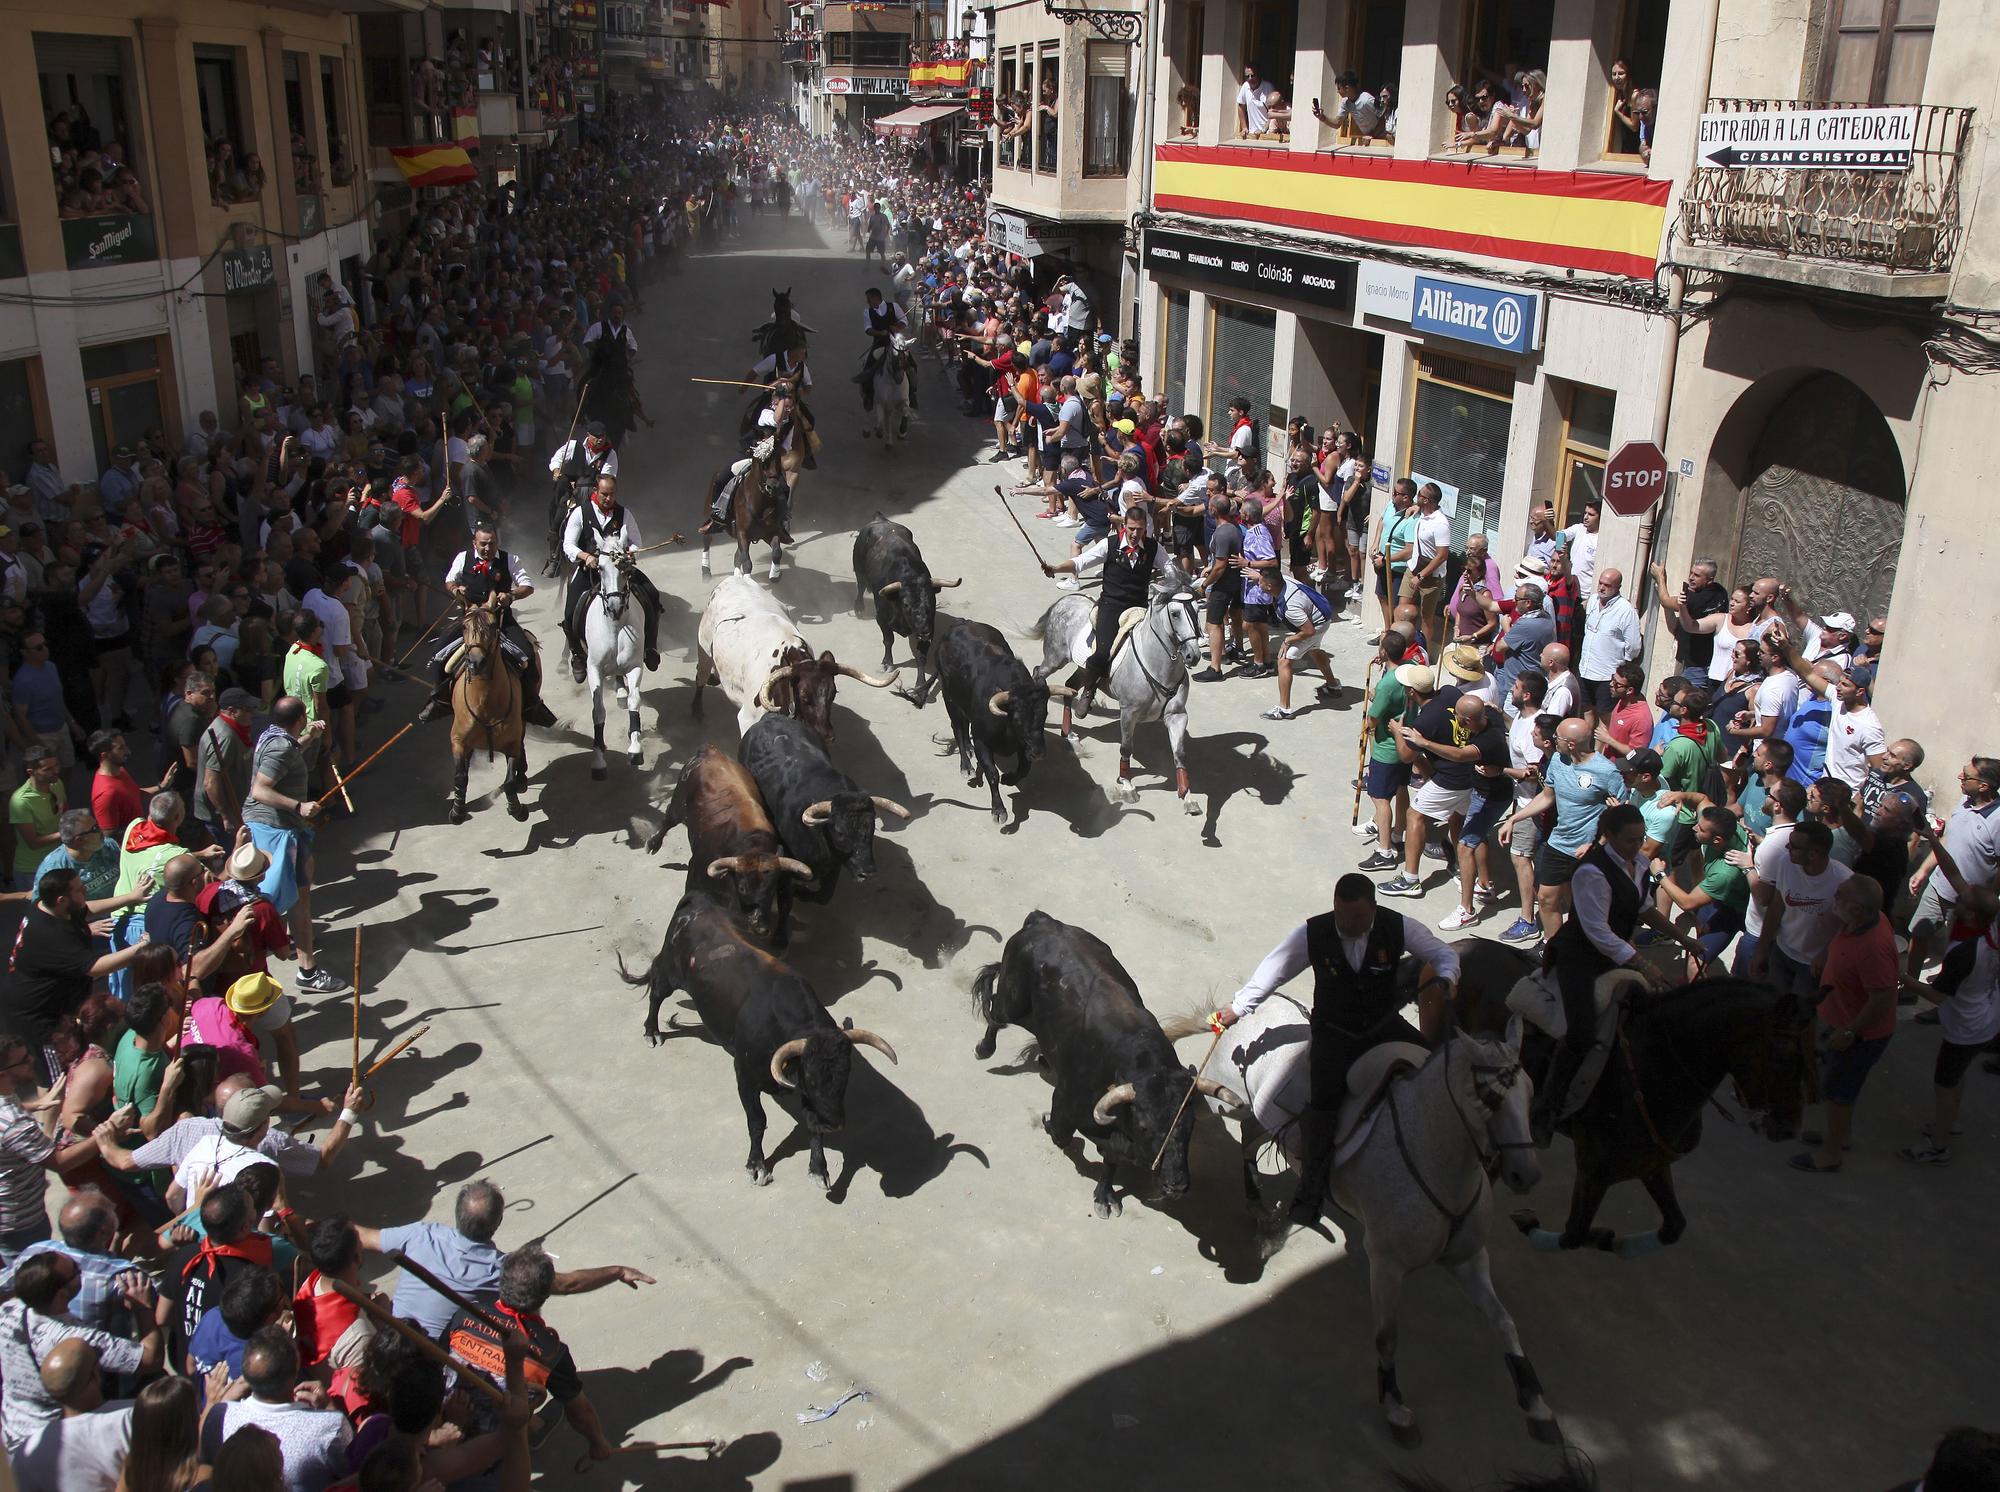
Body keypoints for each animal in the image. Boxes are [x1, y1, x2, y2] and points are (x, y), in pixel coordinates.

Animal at [444, 600, 524, 820]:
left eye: (492, 625)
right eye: (464, 626)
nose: (475, 662)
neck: (485, 705)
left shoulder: (512, 742)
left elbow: (509, 781)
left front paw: (517, 810)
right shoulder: (458, 740)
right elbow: (460, 776)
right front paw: (457, 811)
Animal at [1032, 576, 1200, 808]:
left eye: (1197, 610)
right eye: (1175, 613)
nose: (1194, 655)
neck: (1157, 664)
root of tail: (1066, 600)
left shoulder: (1177, 715)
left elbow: (1180, 753)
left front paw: (1187, 796)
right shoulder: (1129, 712)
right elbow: (1126, 748)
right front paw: (1127, 786)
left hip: (1081, 667)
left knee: (1070, 686)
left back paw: (1070, 733)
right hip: (1055, 657)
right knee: (1038, 673)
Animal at [1168, 1000, 1560, 1456]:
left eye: (1530, 1090)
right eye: (1489, 1097)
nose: (1526, 1174)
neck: (1435, 1155)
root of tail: (1257, 1008)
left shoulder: (1469, 1257)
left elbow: (1503, 1321)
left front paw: (1537, 1405)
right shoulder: (1387, 1264)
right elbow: (1387, 1337)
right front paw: (1396, 1411)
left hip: (1259, 1117)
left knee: (1250, 1137)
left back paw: (1259, 1204)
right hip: (1230, 1100)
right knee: (1218, 1112)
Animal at [1456, 940, 1816, 1256]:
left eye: (1817, 1055)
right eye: (1784, 1055)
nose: (1788, 1129)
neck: (1651, 1068)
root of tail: (1462, 947)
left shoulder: (1651, 1164)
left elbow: (1673, 1226)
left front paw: (1613, 1242)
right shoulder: (1594, 1171)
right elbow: (1573, 1233)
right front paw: (1530, 1223)